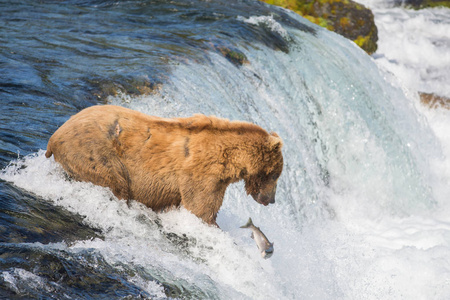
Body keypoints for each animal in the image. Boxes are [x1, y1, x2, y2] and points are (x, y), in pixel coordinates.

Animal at [45, 105, 284, 225]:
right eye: (276, 175)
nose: (271, 199)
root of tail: (55, 135)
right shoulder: (202, 173)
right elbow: (201, 208)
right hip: (96, 154)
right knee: (115, 184)